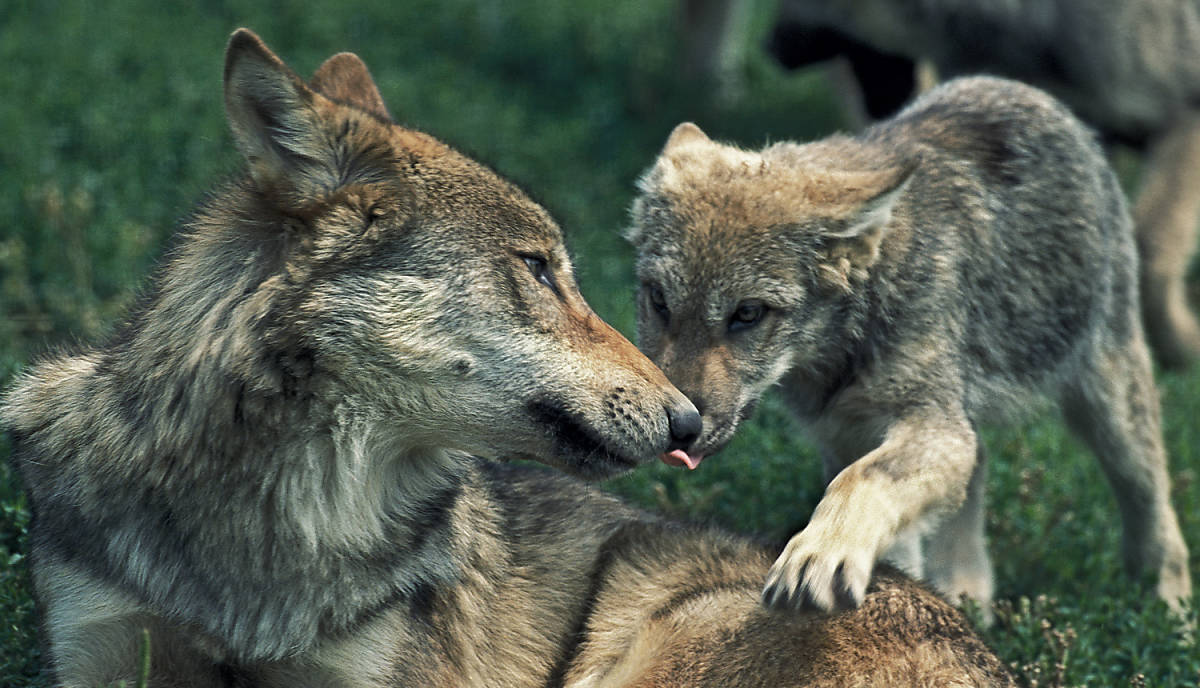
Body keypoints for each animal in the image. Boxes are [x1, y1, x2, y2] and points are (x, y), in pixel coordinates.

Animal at [628, 78, 1190, 614]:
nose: (680, 430)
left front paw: (818, 555)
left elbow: (861, 481)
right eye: (658, 300)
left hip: (1109, 413)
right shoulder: (851, 436)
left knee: (1157, 510)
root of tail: (1024, 91)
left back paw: (1168, 613)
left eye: (747, 314)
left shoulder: (929, 427)